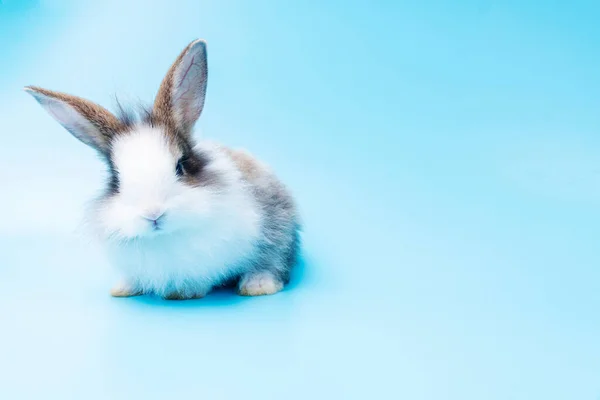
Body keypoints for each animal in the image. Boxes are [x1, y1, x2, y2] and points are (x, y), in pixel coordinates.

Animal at [24, 39, 300, 300]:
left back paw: (258, 285)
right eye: (116, 180)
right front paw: (123, 288)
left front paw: (184, 292)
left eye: (180, 166)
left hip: (279, 232)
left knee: (273, 262)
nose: (153, 214)